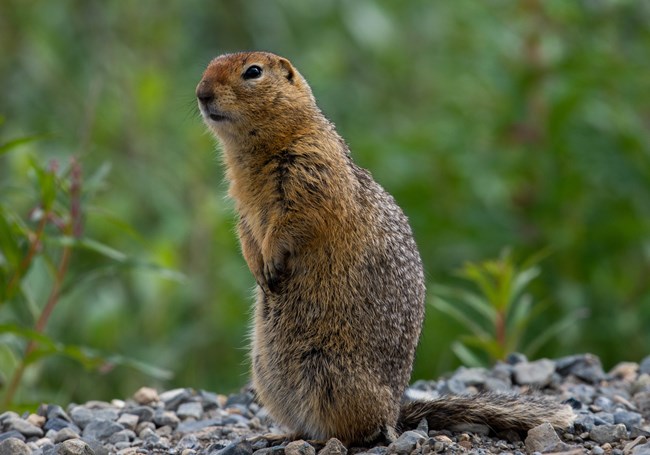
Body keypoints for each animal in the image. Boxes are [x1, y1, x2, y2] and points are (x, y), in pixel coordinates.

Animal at [194, 52, 572, 446]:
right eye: (210, 65)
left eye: (253, 71)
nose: (201, 93)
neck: (256, 152)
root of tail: (395, 414)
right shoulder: (242, 203)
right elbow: (246, 232)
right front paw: (257, 266)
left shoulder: (310, 172)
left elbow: (293, 221)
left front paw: (270, 262)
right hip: (266, 374)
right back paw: (281, 434)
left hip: (328, 373)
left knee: (356, 432)